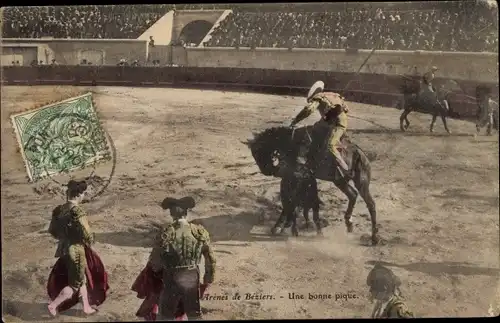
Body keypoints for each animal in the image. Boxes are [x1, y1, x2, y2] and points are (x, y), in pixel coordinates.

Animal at [246, 121, 378, 246]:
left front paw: (279, 226)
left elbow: (288, 204)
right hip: (340, 181)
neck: (291, 142)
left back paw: (374, 237)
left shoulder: (291, 177)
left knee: (370, 204)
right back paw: (349, 224)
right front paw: (287, 225)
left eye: (257, 151)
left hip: (359, 182)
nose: (267, 171)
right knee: (353, 195)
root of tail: (361, 154)